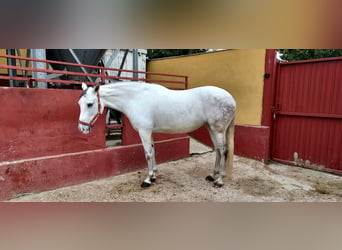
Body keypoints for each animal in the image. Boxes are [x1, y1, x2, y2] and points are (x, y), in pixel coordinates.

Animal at [77, 82, 235, 188]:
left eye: (90, 104)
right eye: (79, 103)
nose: (82, 129)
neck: (136, 99)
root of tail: (231, 99)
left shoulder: (144, 131)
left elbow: (147, 153)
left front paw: (147, 179)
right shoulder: (149, 132)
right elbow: (152, 151)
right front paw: (153, 176)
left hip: (218, 130)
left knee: (223, 150)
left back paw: (220, 180)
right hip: (211, 128)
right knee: (218, 150)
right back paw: (212, 175)